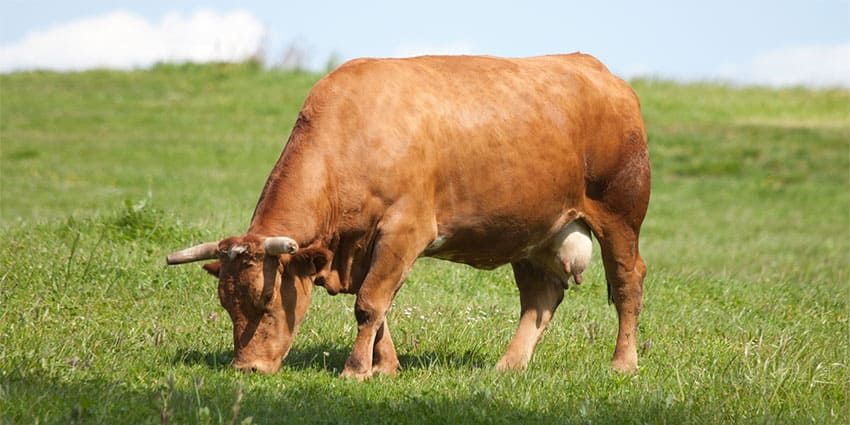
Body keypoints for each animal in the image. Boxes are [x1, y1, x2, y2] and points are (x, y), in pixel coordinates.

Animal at [166, 51, 644, 380]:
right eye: (226, 304)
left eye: (266, 302)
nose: (246, 368)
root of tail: (596, 68)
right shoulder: (362, 246)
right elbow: (379, 309)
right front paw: (386, 367)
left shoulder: (405, 230)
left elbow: (369, 304)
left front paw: (355, 370)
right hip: (532, 232)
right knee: (540, 299)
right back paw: (508, 365)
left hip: (620, 215)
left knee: (627, 284)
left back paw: (623, 363)